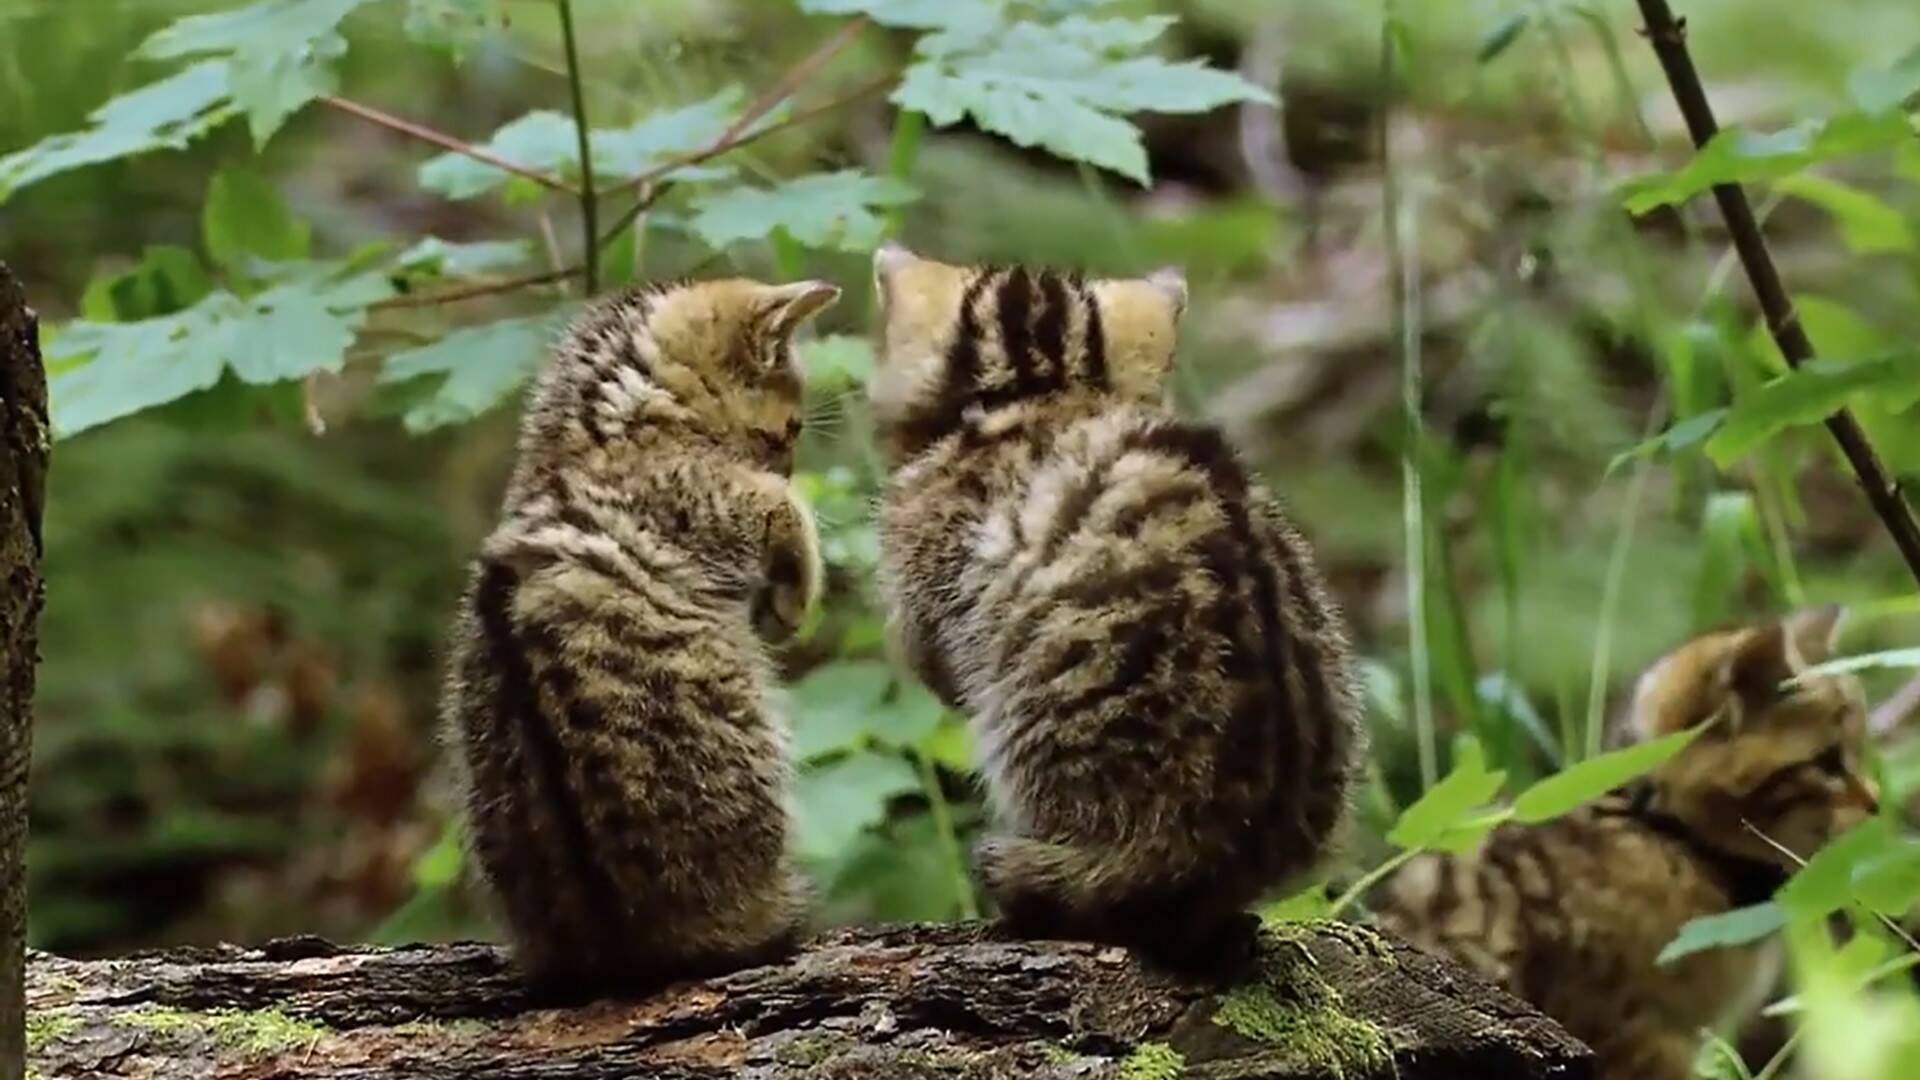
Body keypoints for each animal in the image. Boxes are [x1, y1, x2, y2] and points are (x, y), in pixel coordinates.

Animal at [453, 274, 844, 991]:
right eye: (789, 431)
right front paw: (795, 592)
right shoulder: (715, 502)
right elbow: (785, 509)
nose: (789, 460)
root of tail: (623, 944)